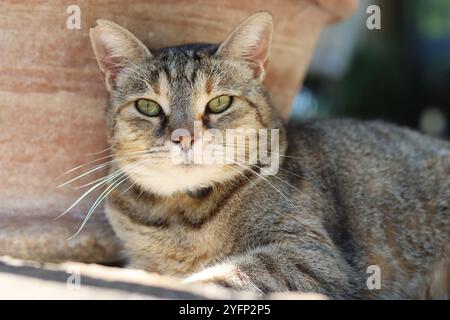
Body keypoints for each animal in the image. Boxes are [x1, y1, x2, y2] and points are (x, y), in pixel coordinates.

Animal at [89, 11, 450, 298]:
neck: (182, 215)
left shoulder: (311, 255)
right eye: (148, 107)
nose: (183, 136)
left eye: (219, 103)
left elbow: (223, 275)